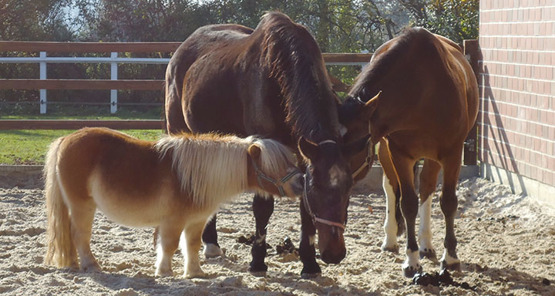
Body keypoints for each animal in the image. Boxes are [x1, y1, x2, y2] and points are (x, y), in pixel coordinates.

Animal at [43, 126, 304, 278]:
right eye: (275, 166)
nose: (301, 183)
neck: (197, 175)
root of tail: (65, 138)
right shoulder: (173, 221)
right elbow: (168, 246)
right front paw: (165, 272)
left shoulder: (196, 222)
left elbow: (192, 246)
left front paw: (195, 273)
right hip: (82, 206)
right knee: (79, 235)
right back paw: (91, 265)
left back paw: (73, 264)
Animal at [164, 11, 370, 276]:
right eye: (316, 190)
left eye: (348, 189)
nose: (334, 254)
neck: (280, 74)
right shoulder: (264, 152)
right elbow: (263, 208)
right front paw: (258, 259)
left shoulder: (304, 155)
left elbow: (304, 210)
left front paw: (309, 261)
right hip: (180, 131)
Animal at [340, 27, 480, 278]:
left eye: (357, 144)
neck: (421, 91)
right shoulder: (400, 154)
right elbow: (407, 204)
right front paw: (411, 261)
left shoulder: (452, 153)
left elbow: (448, 202)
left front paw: (450, 258)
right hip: (386, 150)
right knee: (391, 186)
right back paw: (391, 239)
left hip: (433, 157)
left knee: (427, 187)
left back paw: (427, 245)